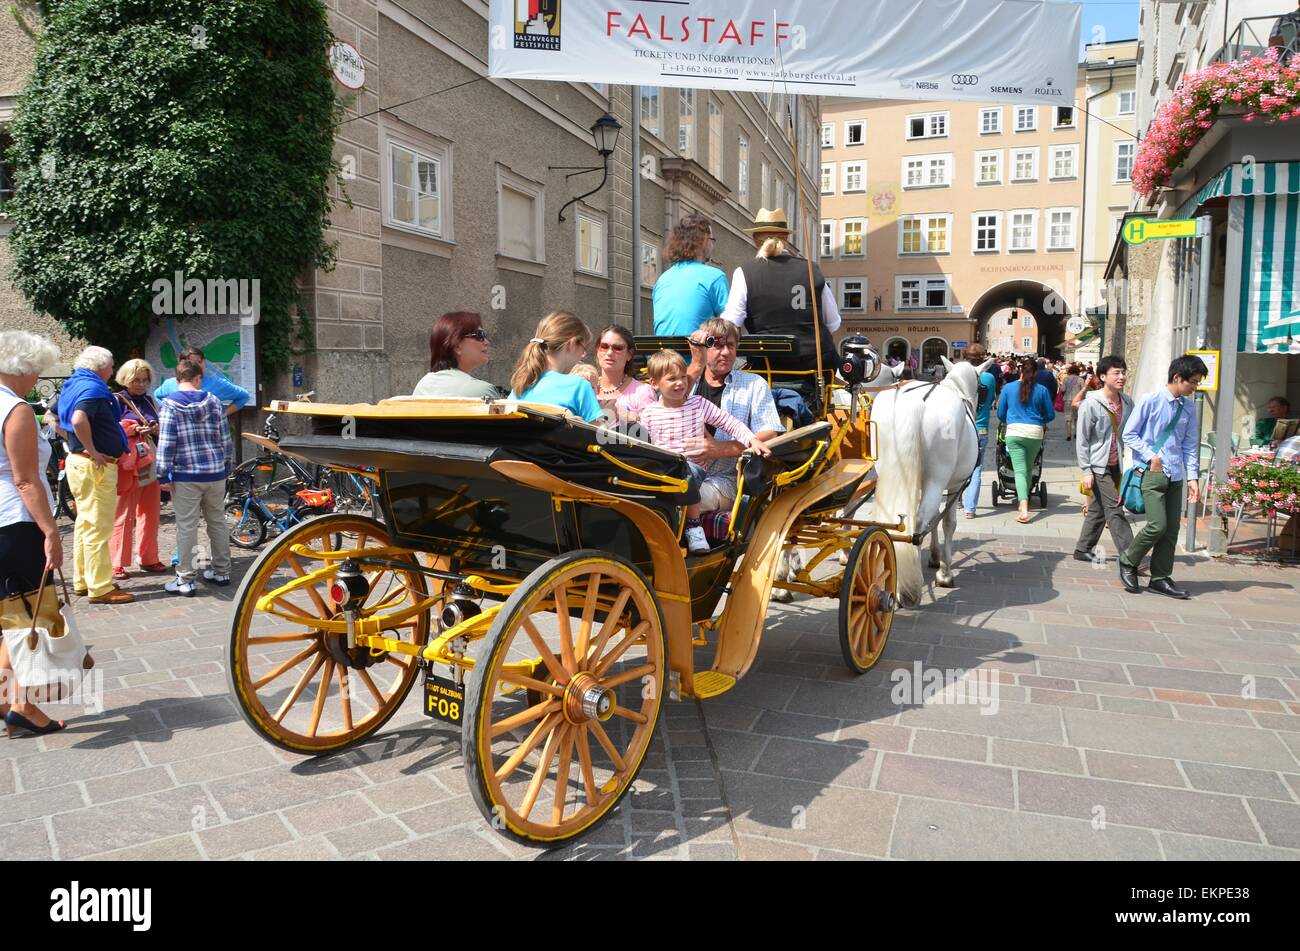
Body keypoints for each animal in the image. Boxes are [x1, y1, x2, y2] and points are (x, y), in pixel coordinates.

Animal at [863, 353, 993, 605]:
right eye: (982, 388)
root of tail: (912, 402)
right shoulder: (955, 485)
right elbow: (946, 522)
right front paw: (944, 572)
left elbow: (934, 519)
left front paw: (934, 556)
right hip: (937, 478)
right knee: (919, 522)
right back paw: (910, 590)